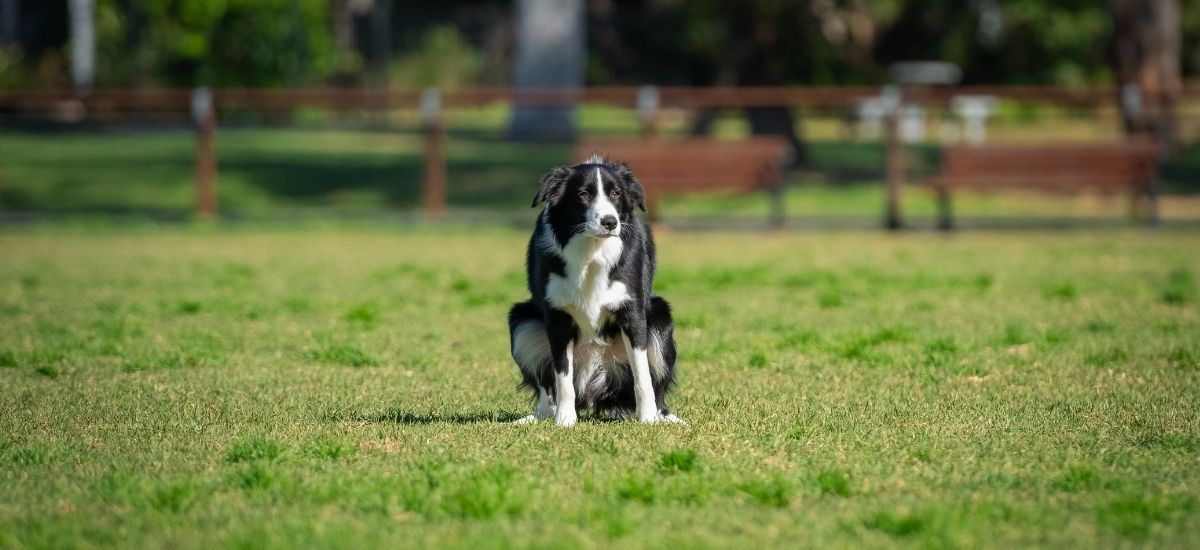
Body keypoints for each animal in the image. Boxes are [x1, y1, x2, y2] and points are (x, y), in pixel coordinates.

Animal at [506, 154, 681, 425]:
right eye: (583, 194)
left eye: (616, 193)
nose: (610, 222)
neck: (591, 250)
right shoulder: (557, 317)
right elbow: (562, 377)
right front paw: (565, 421)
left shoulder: (632, 314)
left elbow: (643, 376)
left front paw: (647, 419)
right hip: (522, 320)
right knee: (547, 387)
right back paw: (540, 417)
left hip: (661, 320)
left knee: (657, 385)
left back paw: (664, 416)